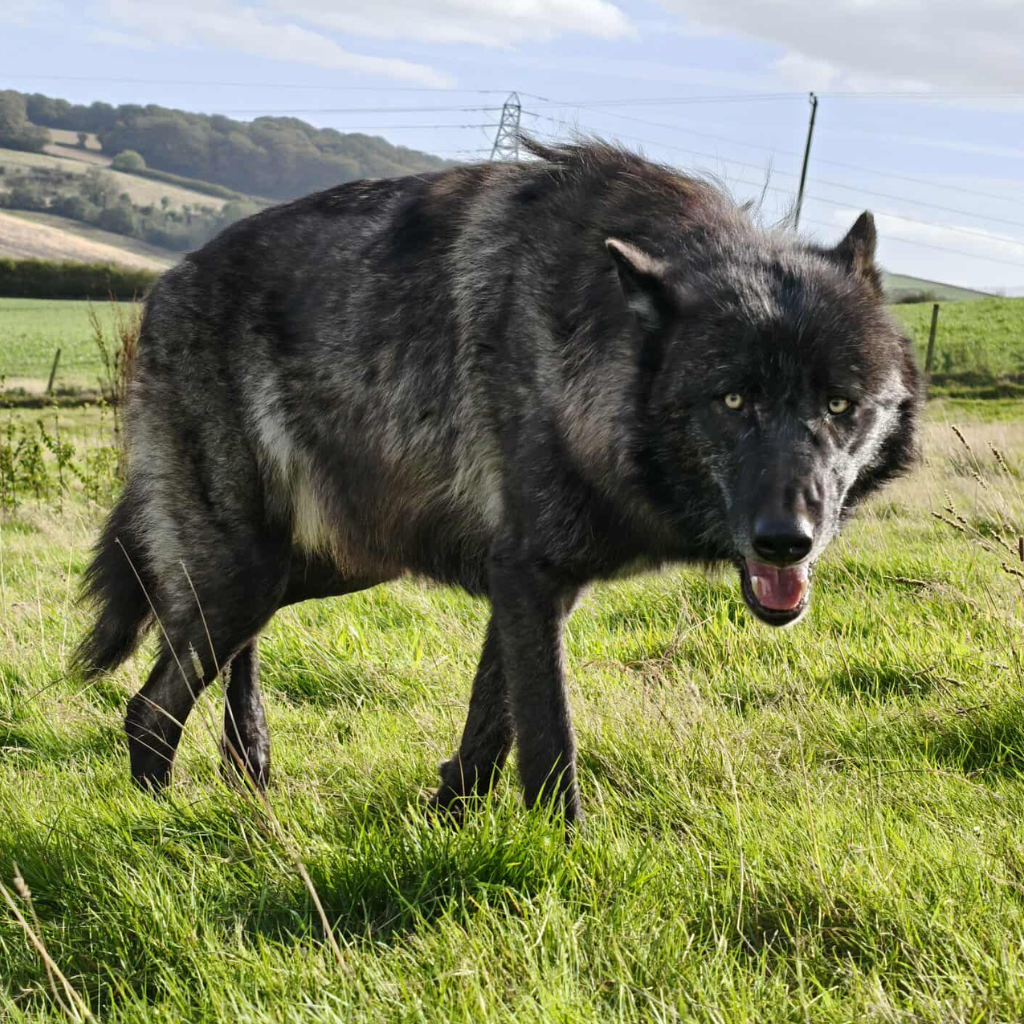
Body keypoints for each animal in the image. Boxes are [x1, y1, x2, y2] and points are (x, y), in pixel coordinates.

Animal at [75, 140, 921, 824]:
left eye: (839, 404)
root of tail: (163, 285)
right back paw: (159, 826)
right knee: (149, 710)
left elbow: (491, 728)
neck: (598, 357)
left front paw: (446, 817)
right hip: (247, 571)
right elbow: (548, 742)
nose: (787, 543)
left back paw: (249, 769)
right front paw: (563, 864)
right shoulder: (529, 577)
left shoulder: (527, 584)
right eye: (734, 400)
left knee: (218, 658)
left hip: (313, 568)